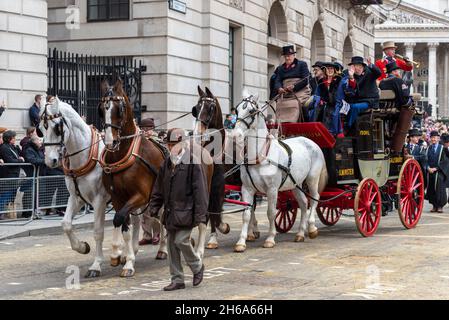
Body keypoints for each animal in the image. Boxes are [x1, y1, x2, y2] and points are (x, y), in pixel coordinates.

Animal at [98, 80, 168, 278]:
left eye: (120, 109)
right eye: (101, 109)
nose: (110, 142)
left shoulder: (141, 195)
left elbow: (120, 219)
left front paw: (127, 260)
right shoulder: (118, 198)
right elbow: (124, 226)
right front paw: (126, 258)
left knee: (163, 220)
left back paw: (163, 249)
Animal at [229, 94, 328, 251]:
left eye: (251, 111)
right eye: (237, 110)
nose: (235, 135)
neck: (260, 156)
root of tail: (310, 141)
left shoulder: (272, 189)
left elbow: (270, 213)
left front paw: (270, 238)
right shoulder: (247, 189)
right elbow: (246, 214)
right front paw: (241, 242)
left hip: (312, 178)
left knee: (314, 198)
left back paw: (312, 228)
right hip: (296, 184)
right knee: (303, 203)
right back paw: (300, 233)